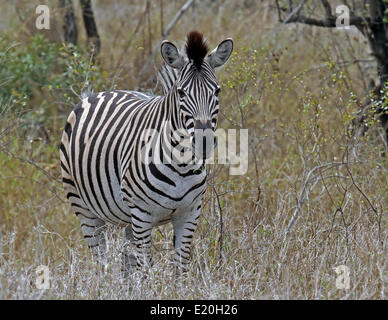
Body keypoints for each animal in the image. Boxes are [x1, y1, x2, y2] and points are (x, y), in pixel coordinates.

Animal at [59, 30, 232, 276]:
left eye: (217, 91)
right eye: (181, 93)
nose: (204, 142)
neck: (181, 163)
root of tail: (100, 93)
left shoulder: (189, 213)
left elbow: (180, 269)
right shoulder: (142, 214)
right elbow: (146, 270)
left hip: (127, 218)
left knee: (126, 265)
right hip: (84, 208)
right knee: (101, 262)